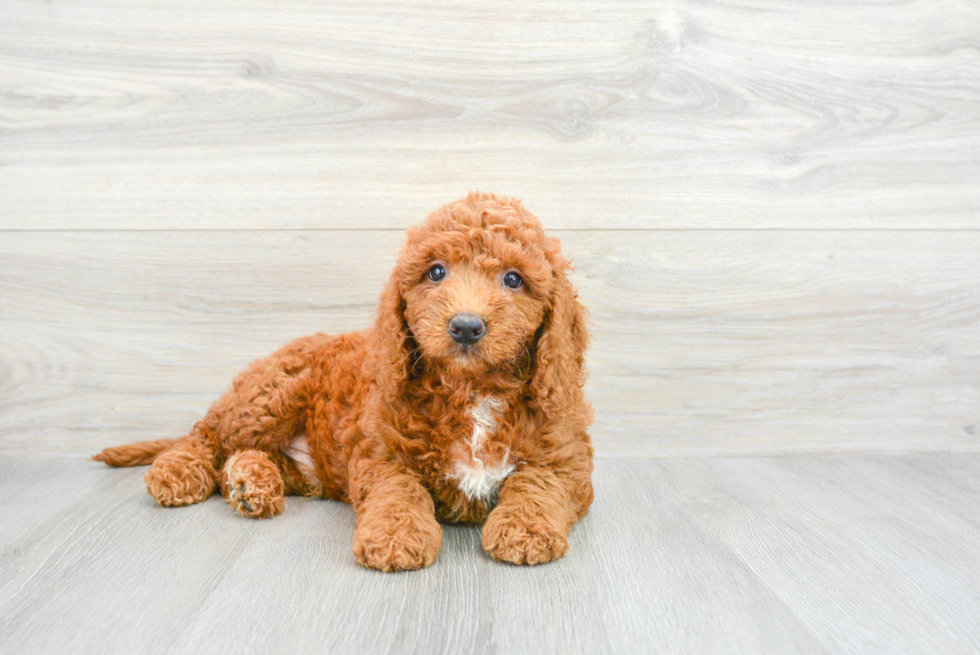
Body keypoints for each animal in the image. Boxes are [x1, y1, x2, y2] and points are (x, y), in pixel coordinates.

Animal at [95, 192, 592, 572]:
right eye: (436, 272)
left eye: (514, 279)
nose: (466, 327)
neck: (471, 391)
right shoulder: (383, 454)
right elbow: (398, 493)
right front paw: (395, 538)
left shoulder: (566, 460)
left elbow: (538, 485)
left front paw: (525, 529)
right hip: (270, 397)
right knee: (207, 437)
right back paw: (179, 472)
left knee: (243, 456)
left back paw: (250, 484)